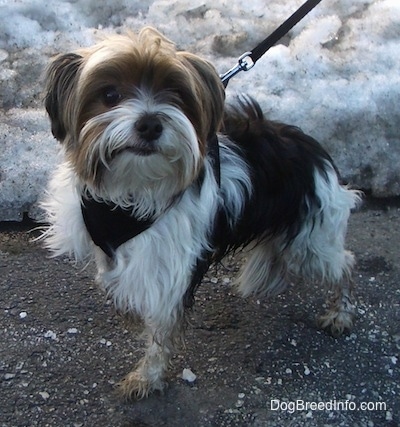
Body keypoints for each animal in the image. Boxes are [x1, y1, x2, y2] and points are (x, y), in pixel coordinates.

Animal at [42, 27, 360, 402]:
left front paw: (147, 376)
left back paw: (340, 314)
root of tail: (314, 150)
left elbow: (161, 331)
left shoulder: (169, 270)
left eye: (177, 95)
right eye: (109, 94)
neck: (134, 191)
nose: (150, 124)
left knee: (344, 265)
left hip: (311, 239)